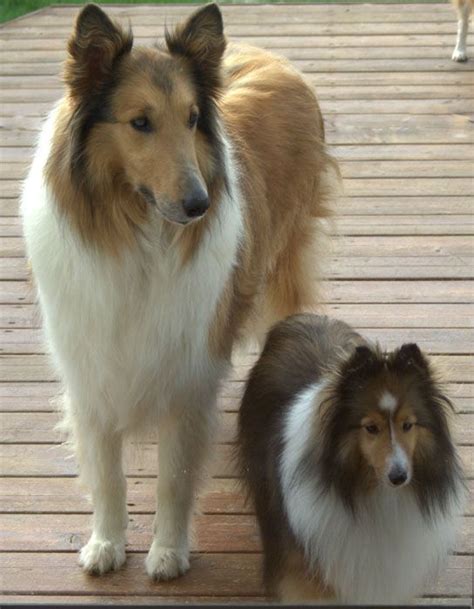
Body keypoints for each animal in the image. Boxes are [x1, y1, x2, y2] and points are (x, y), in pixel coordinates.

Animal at [20, 2, 336, 580]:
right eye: (140, 122)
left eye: (192, 119)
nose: (199, 204)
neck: (138, 236)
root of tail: (272, 57)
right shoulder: (91, 370)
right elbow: (108, 475)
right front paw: (106, 544)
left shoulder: (188, 374)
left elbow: (174, 477)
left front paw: (167, 553)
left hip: (285, 265)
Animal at [239, 314, 464, 604]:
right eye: (371, 428)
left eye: (408, 425)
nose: (399, 476)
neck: (369, 494)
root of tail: (304, 317)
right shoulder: (303, 576)